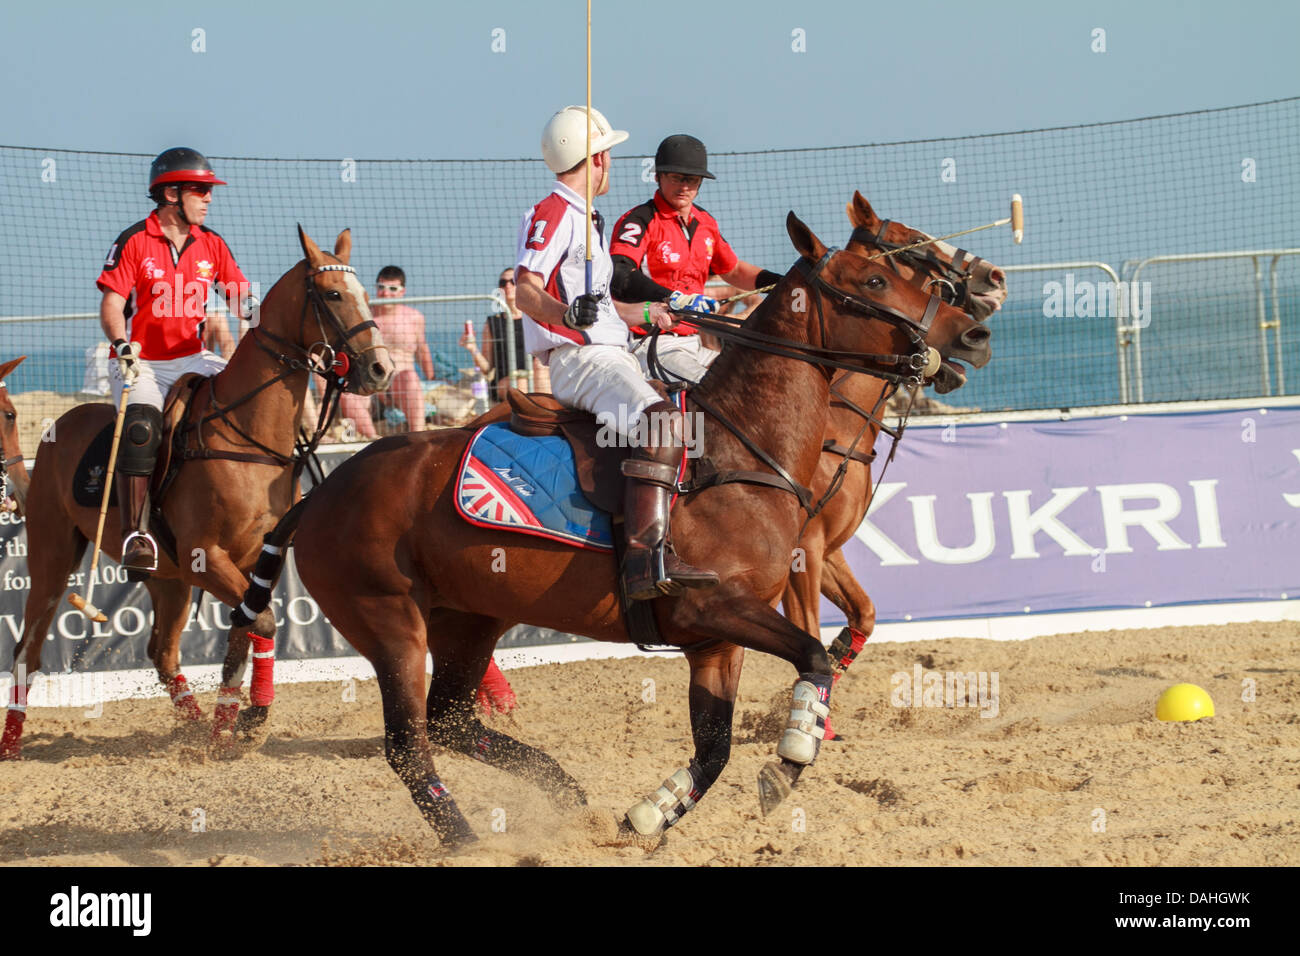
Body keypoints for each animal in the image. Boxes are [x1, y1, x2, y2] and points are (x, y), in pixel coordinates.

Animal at [2, 227, 392, 759]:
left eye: (365, 294)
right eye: (332, 294)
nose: (381, 369)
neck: (248, 435)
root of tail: (58, 424)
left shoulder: (252, 562)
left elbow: (245, 629)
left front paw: (225, 726)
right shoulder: (203, 553)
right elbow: (262, 624)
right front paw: (249, 718)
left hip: (168, 576)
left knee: (161, 652)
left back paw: (193, 722)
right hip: (52, 552)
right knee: (28, 648)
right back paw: (10, 743)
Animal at [239, 209, 987, 842]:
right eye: (877, 277)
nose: (974, 330)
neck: (744, 450)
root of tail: (322, 493)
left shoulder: (715, 641)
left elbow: (716, 747)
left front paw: (649, 814)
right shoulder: (716, 605)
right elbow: (812, 655)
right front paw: (790, 756)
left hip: (468, 618)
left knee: (452, 721)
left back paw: (563, 793)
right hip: (390, 619)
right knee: (408, 744)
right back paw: (468, 840)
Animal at [774, 196, 1008, 717]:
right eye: (914, 241)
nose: (996, 276)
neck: (836, 419)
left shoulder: (827, 548)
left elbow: (862, 615)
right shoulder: (801, 549)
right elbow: (805, 636)